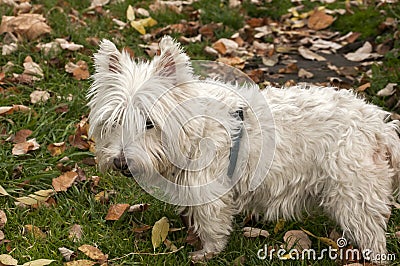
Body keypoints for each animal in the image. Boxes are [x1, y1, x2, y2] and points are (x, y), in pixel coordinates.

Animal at [88, 35, 400, 262]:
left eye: (149, 123)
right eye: (114, 121)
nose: (120, 162)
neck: (197, 129)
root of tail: (377, 125)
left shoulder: (210, 192)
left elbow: (212, 224)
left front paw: (206, 253)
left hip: (354, 194)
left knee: (373, 236)